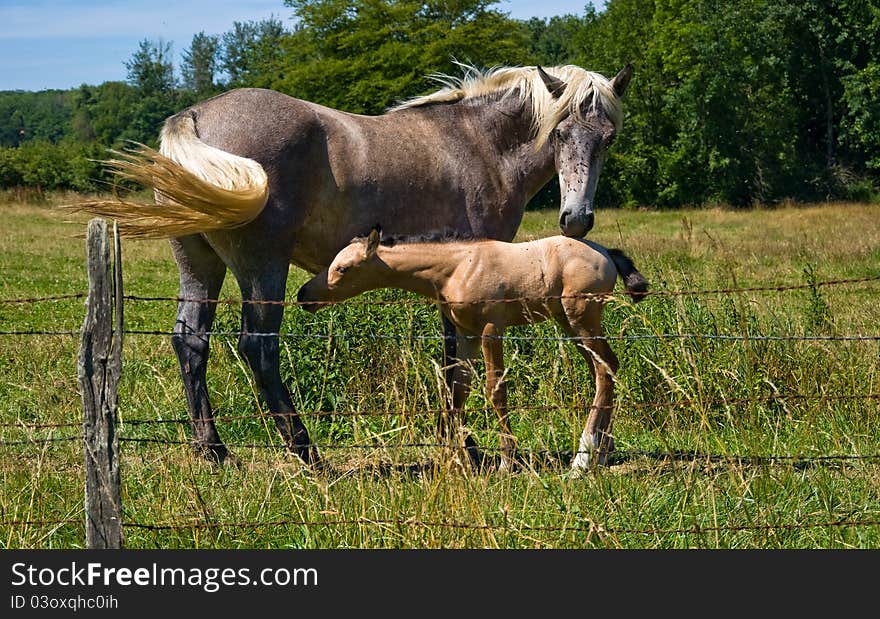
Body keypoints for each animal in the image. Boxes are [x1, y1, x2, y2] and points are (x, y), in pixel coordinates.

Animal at [300, 229, 648, 474]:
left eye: (343, 268)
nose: (304, 296)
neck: (457, 267)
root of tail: (606, 253)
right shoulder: (465, 334)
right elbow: (456, 392)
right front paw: (454, 460)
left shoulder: (491, 329)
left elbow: (495, 390)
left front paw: (507, 462)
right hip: (570, 324)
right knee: (606, 370)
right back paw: (601, 452)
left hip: (581, 319)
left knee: (604, 370)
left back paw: (583, 458)